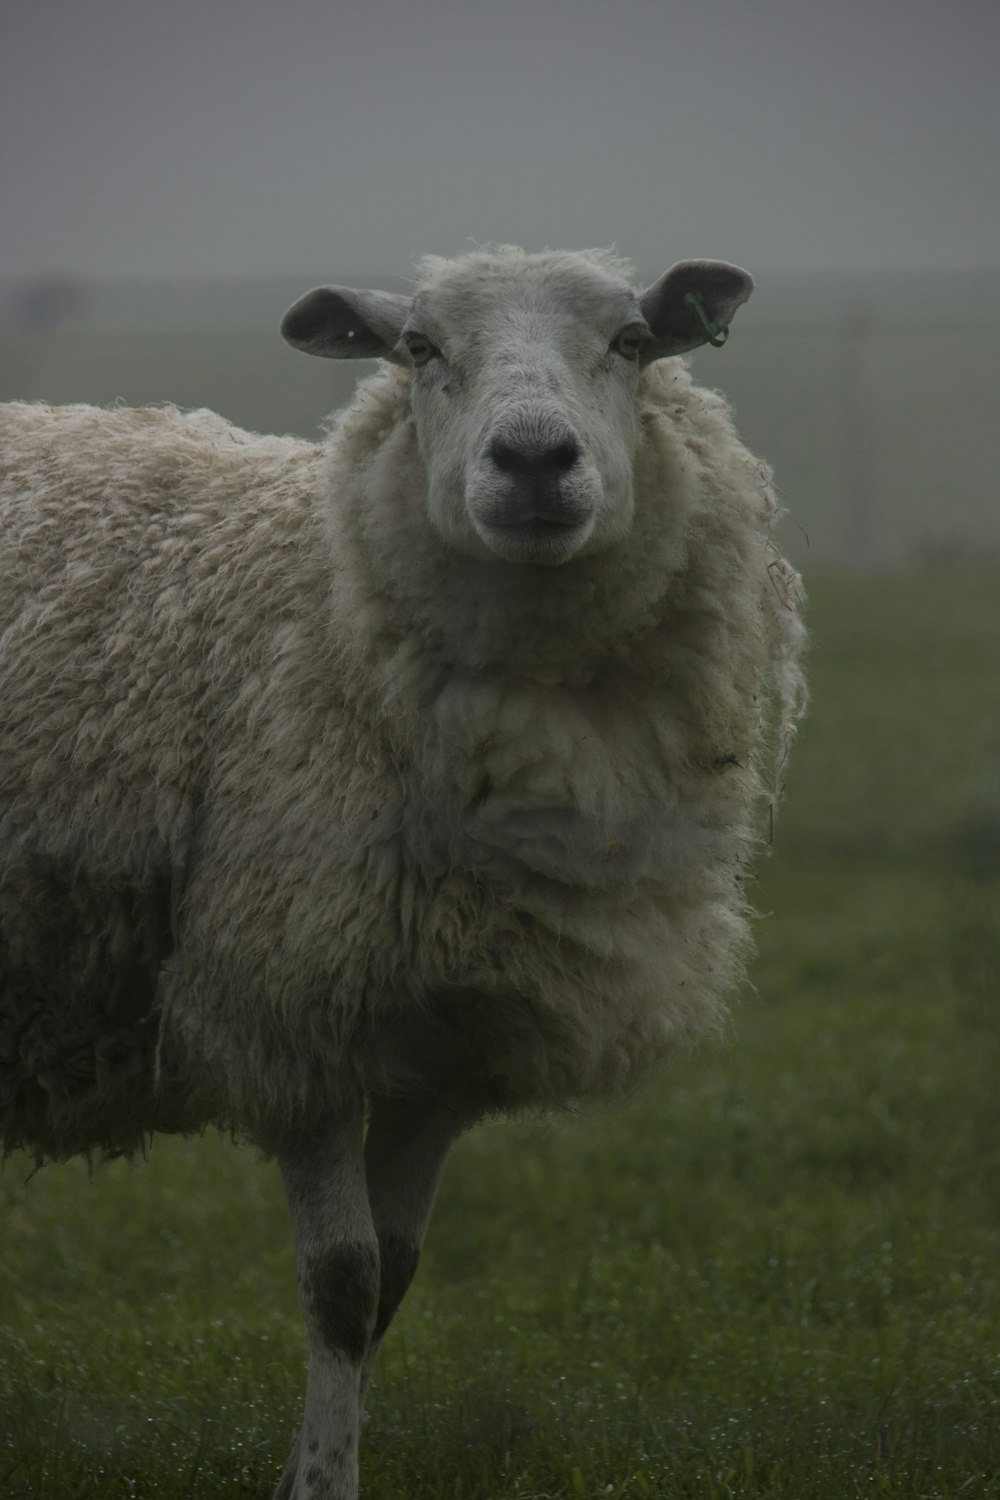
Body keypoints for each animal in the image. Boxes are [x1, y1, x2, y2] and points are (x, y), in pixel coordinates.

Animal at [1, 246, 803, 1500]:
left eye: (631, 341)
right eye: (417, 349)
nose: (533, 460)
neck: (326, 607)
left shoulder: (447, 1037)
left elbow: (395, 1280)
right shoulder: (300, 1000)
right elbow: (342, 1283)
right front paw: (322, 1484)